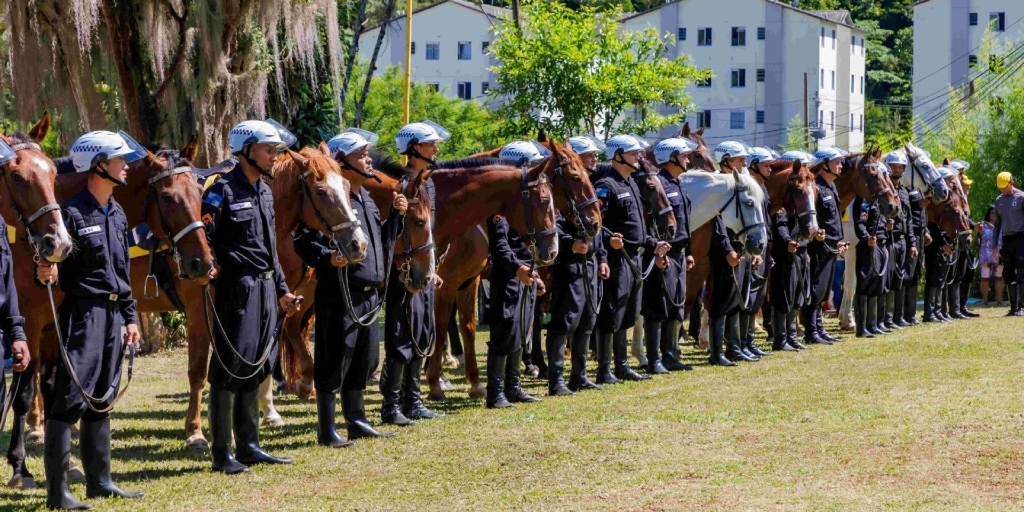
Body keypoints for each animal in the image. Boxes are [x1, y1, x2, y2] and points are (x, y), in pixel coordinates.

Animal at [4, 134, 214, 485]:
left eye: (199, 194)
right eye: (167, 197)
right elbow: (25, 389)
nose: (203, 263)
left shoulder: (54, 323)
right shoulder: (29, 321)